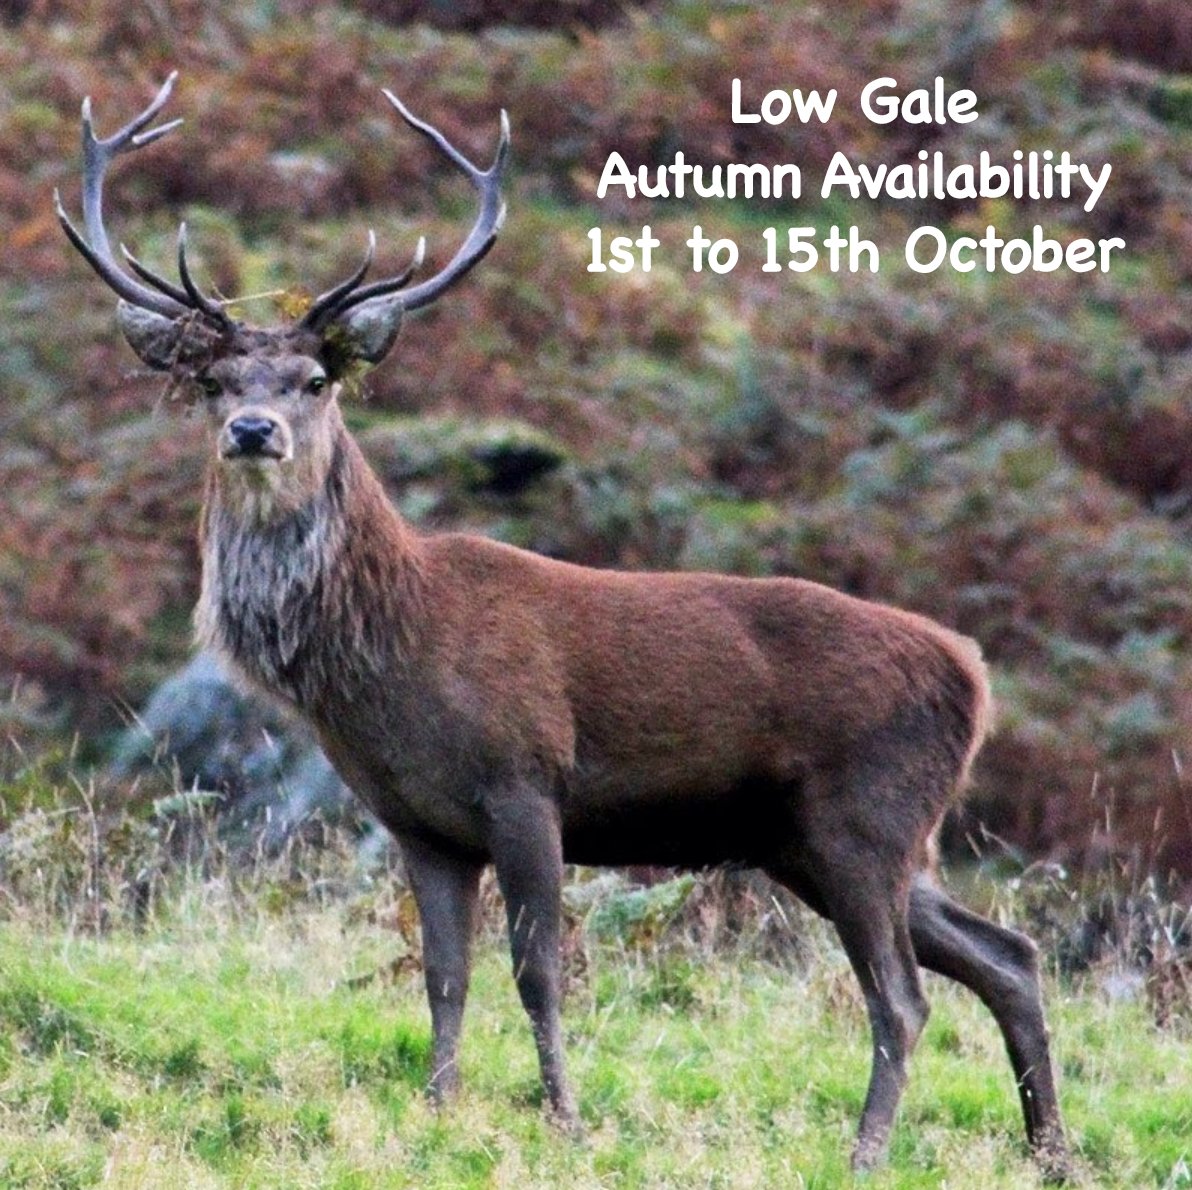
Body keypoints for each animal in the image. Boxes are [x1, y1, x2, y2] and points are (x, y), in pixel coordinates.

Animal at [57, 74, 1071, 1179]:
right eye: (212, 383)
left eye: (315, 382)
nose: (253, 430)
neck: (388, 654)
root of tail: (973, 674)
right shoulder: (420, 823)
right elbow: (442, 976)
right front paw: (438, 1106)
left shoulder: (525, 779)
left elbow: (537, 969)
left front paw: (564, 1115)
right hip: (826, 839)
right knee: (1008, 955)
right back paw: (1050, 1150)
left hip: (865, 814)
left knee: (905, 997)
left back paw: (867, 1151)